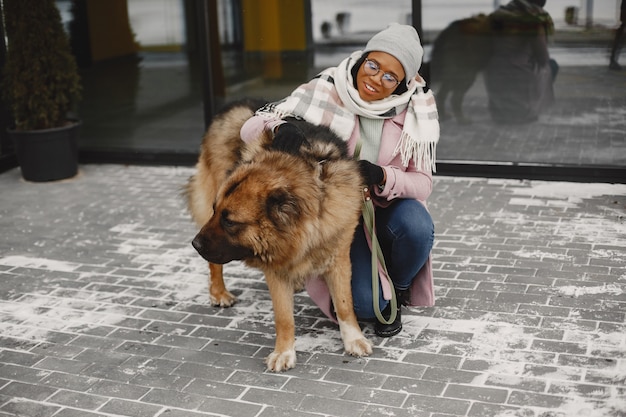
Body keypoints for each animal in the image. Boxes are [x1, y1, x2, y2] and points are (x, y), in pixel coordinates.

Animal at [185, 100, 370, 370]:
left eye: (230, 222)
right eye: (216, 211)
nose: (195, 244)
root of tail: (232, 106)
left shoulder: (339, 255)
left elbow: (345, 304)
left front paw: (353, 339)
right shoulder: (274, 265)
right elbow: (283, 317)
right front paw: (284, 352)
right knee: (214, 264)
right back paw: (218, 292)